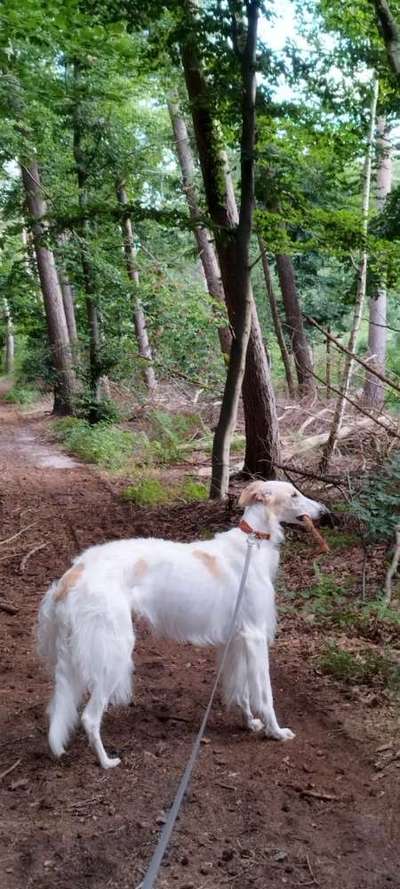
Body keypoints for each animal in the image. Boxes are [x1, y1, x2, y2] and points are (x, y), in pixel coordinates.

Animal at [36, 482, 324, 768]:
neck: (253, 544)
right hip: (114, 651)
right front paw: (276, 731)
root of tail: (71, 577)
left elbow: (241, 690)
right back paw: (106, 761)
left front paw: (250, 722)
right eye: (294, 494)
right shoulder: (255, 636)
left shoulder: (237, 639)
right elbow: (265, 694)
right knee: (89, 717)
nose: (325, 511)